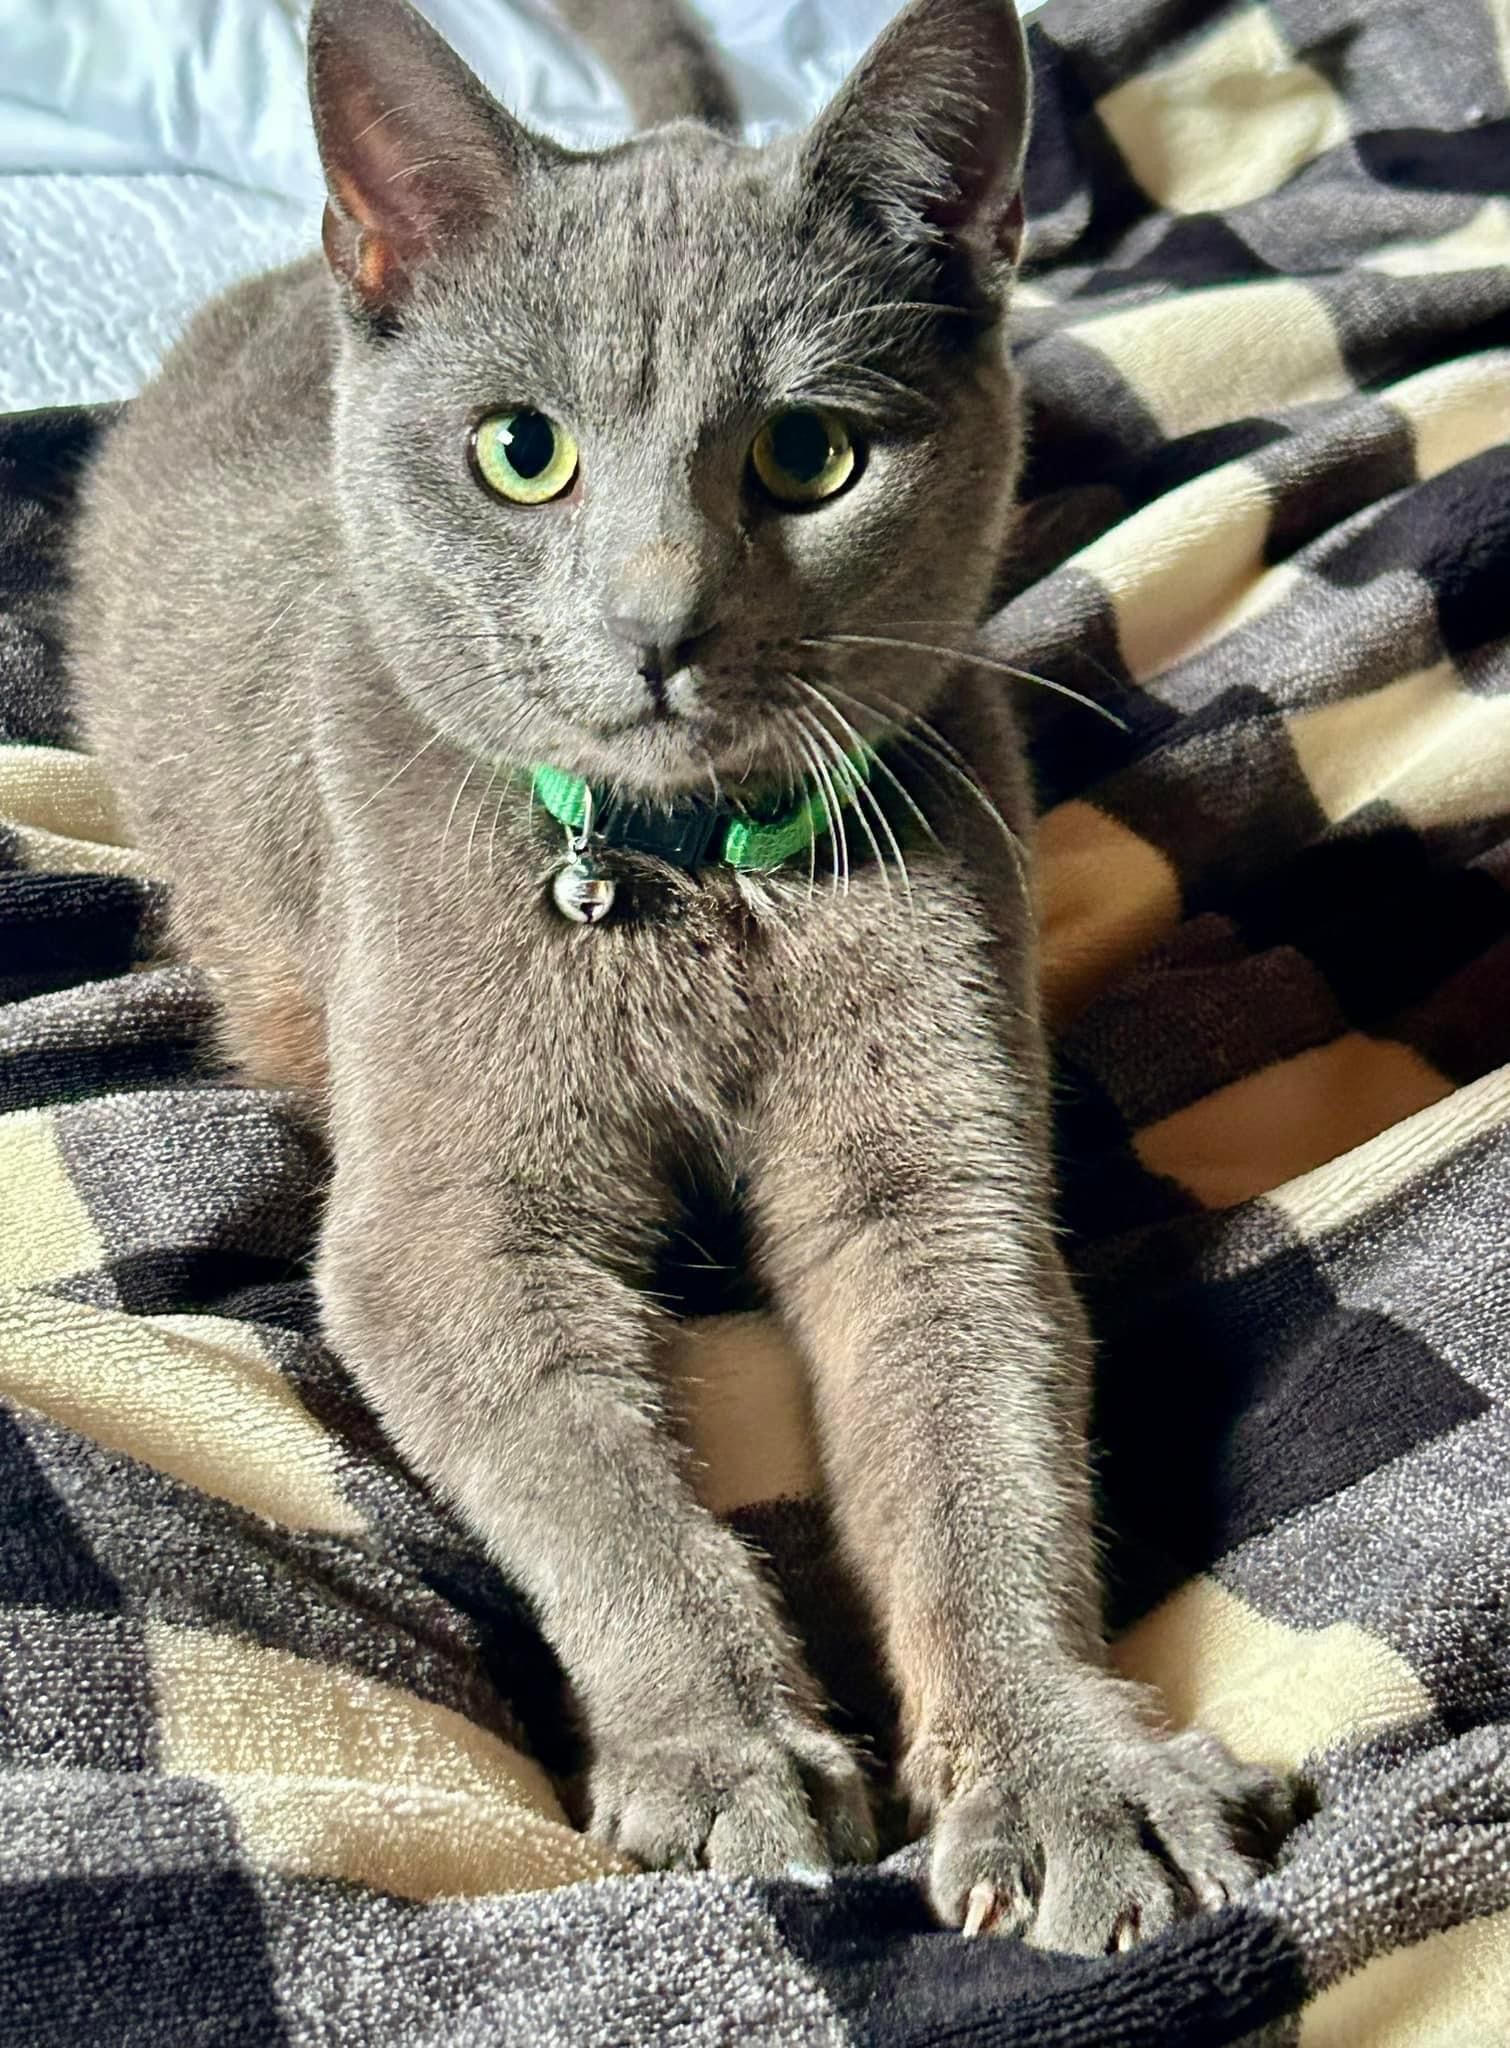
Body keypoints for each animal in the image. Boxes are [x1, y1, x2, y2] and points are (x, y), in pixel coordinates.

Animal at [69, 0, 1279, 1950]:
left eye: (807, 455)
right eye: (521, 451)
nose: (658, 627)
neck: (685, 881)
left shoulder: (936, 1174)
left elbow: (988, 1462)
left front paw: (1061, 1776)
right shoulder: (447, 1222)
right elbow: (599, 1490)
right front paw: (723, 1757)